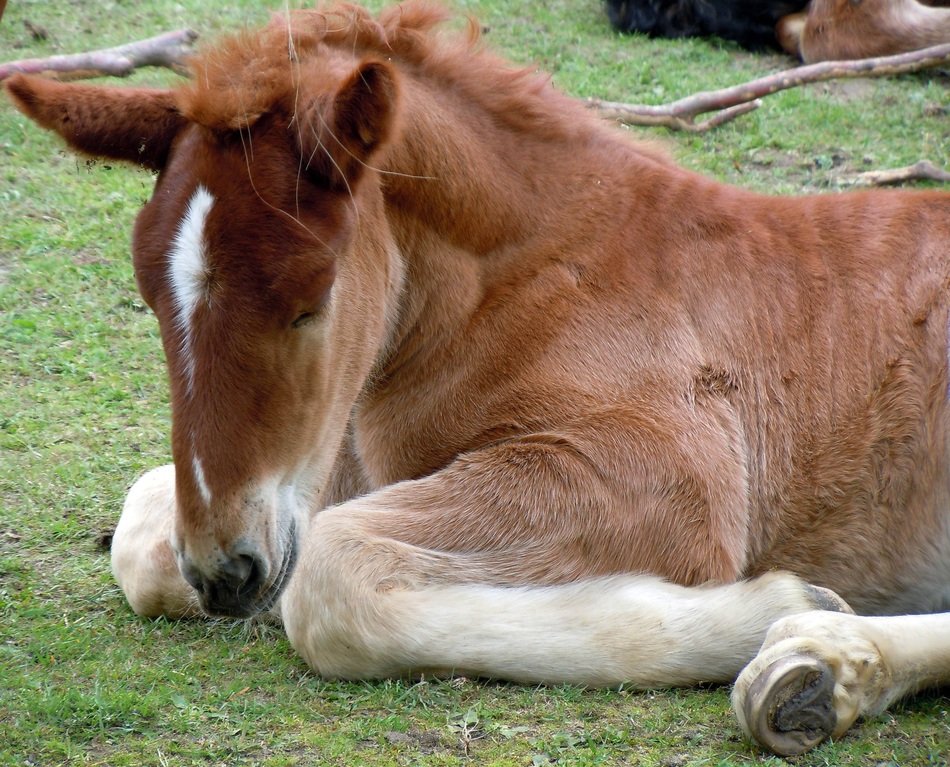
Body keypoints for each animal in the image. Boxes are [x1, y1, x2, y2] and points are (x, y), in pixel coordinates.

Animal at [5, 1, 950, 756]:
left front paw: (772, 600)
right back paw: (820, 669)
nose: (225, 573)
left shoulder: (669, 480)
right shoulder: (331, 468)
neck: (532, 277)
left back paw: (811, 660)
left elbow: (331, 577)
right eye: (150, 298)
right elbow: (142, 529)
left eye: (310, 301)